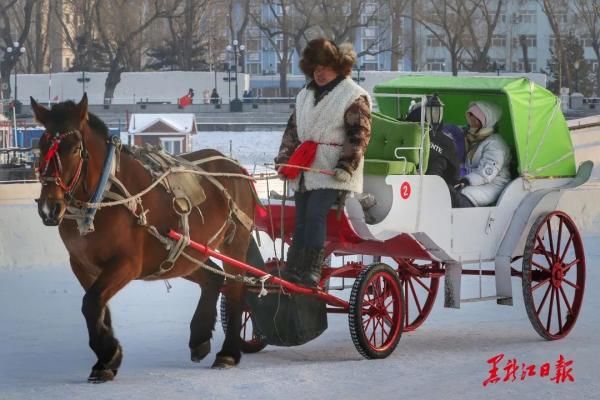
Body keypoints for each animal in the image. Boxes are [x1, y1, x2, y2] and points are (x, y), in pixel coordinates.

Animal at [31, 94, 255, 382]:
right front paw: (106, 358)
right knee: (213, 278)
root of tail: (234, 165)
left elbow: (91, 303)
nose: (50, 207)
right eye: (41, 145)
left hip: (235, 242)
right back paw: (200, 336)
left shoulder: (127, 264)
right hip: (183, 253)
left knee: (236, 288)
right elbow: (99, 308)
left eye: (74, 148)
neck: (103, 195)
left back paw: (228, 352)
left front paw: (109, 353)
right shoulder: (81, 264)